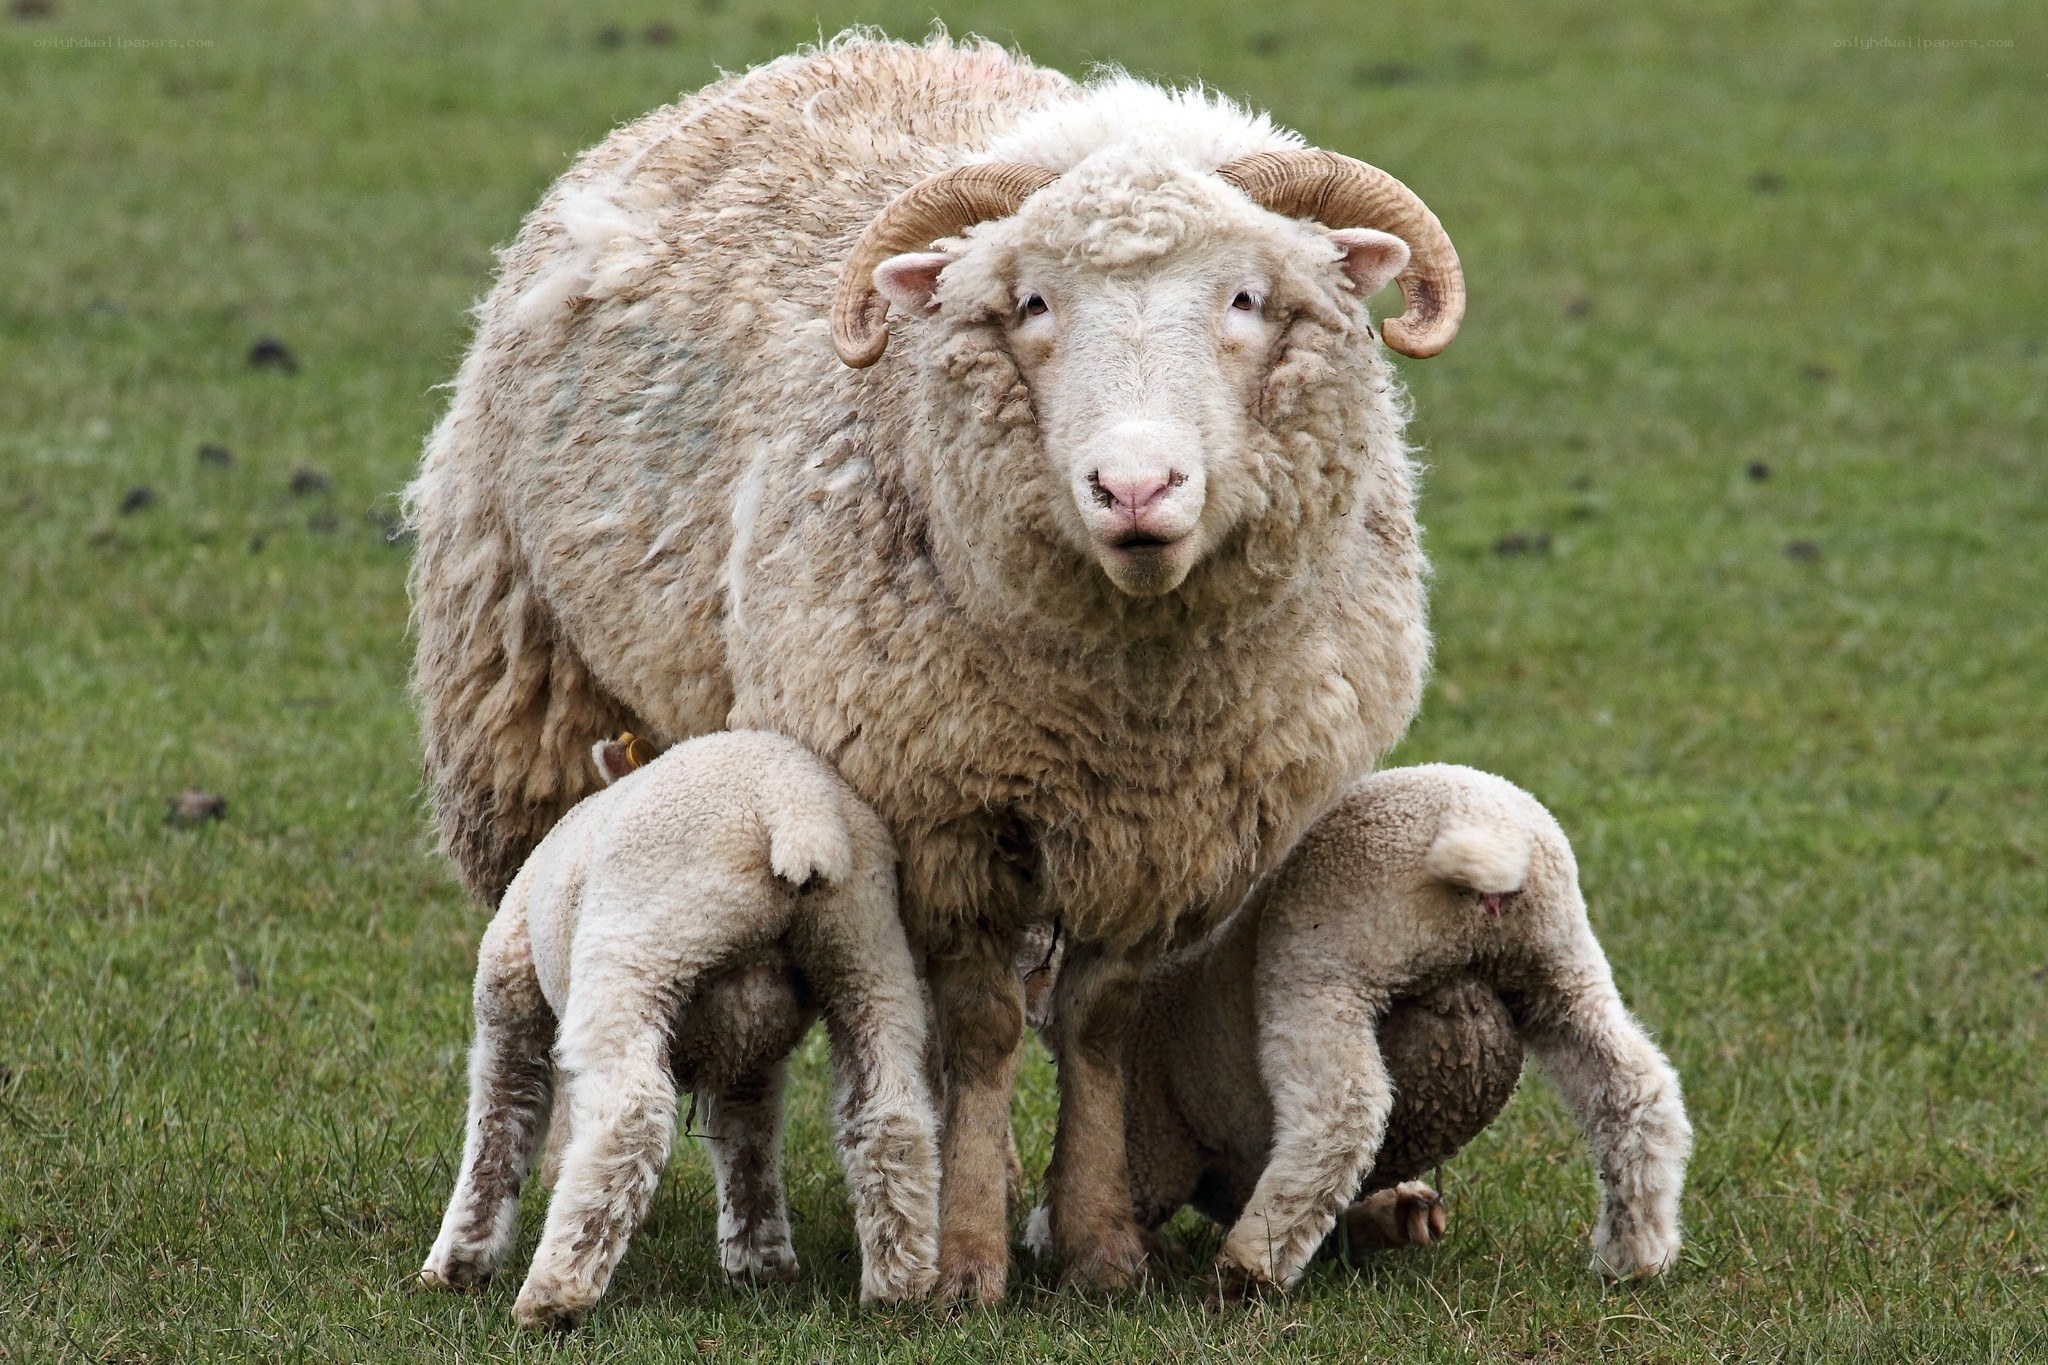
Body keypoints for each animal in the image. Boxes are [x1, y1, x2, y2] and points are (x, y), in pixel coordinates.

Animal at [418, 730, 940, 1327]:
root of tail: (795, 803)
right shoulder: (748, 1055)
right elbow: (746, 1137)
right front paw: (760, 1259)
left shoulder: (509, 995)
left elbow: (498, 1126)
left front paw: (459, 1260)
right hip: (869, 953)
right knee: (890, 1114)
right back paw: (899, 1283)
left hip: (636, 949)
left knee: (629, 1119)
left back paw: (555, 1292)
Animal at [1055, 764, 1691, 1293]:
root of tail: (1484, 835)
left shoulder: (1150, 1125)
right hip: (1559, 964)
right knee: (1635, 1092)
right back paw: (1637, 1254)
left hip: (1325, 965)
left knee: (1342, 1116)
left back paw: (1252, 1265)